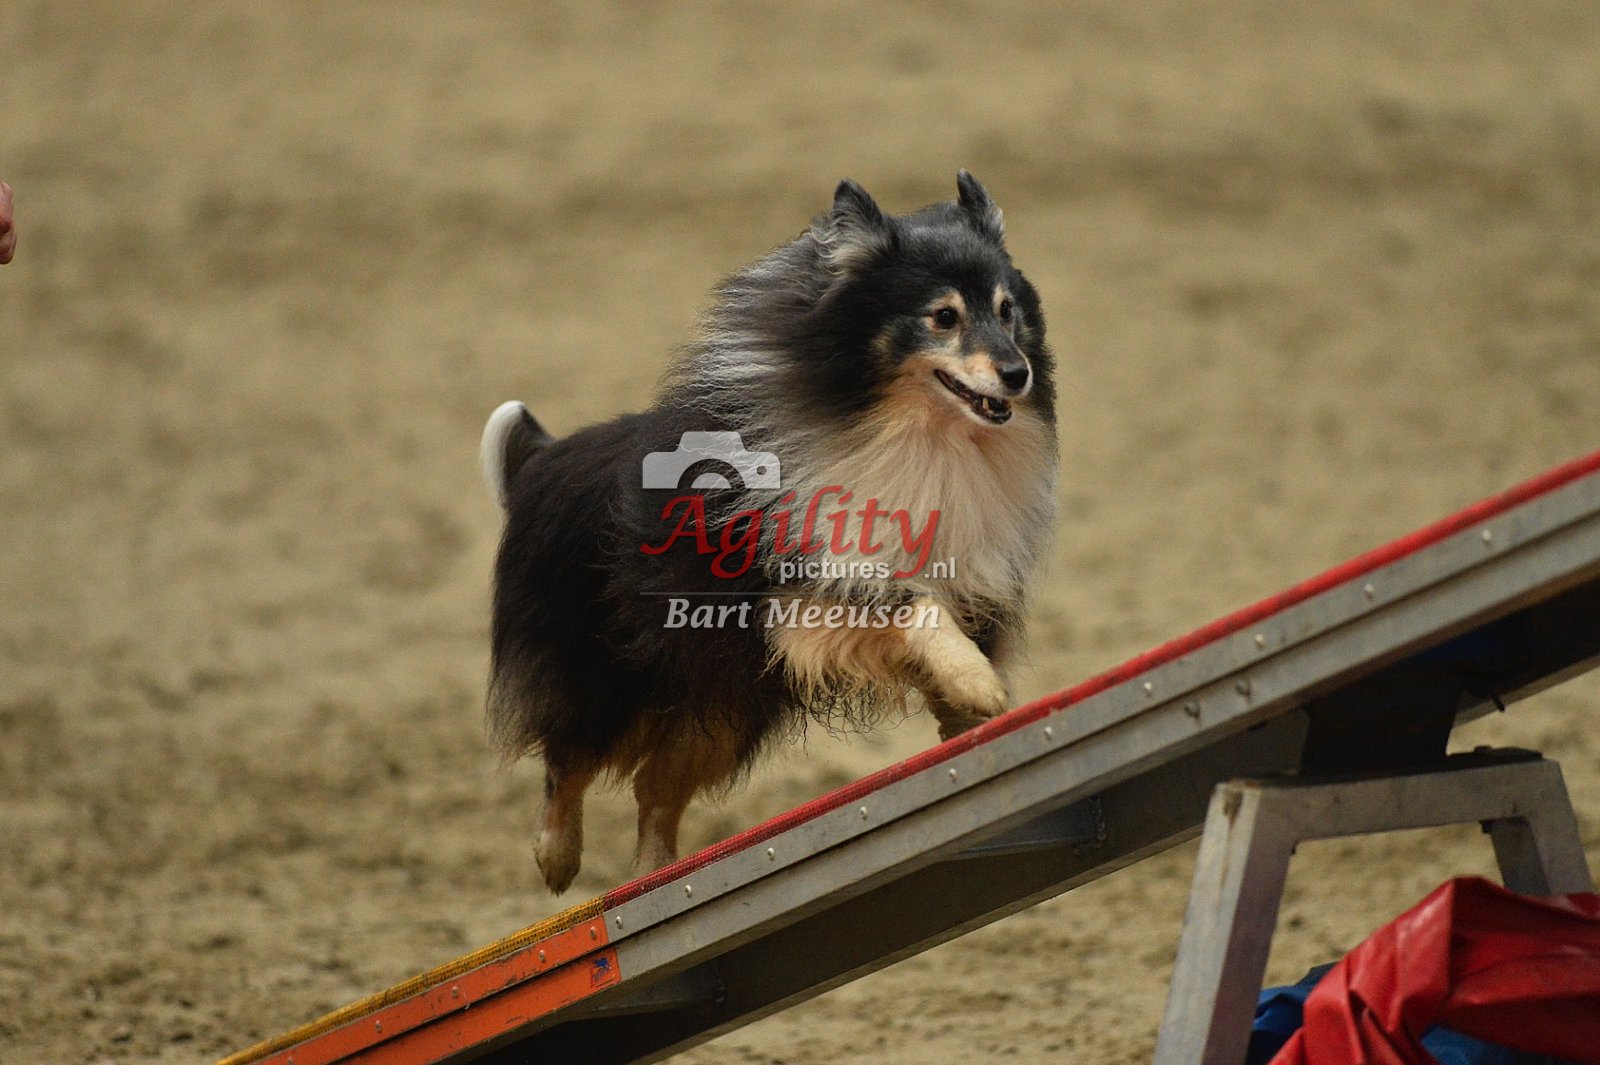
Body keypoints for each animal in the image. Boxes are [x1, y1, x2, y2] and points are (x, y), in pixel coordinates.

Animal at [481, 171, 1057, 892]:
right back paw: (559, 860)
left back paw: (656, 881)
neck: (919, 435)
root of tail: (544, 458)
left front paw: (970, 712)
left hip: (721, 704)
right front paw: (979, 685)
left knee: (654, 789)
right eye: (943, 316)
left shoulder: (971, 588)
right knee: (569, 759)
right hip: (613, 674)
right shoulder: (807, 591)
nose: (1017, 374)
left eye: (1007, 310)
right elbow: (912, 601)